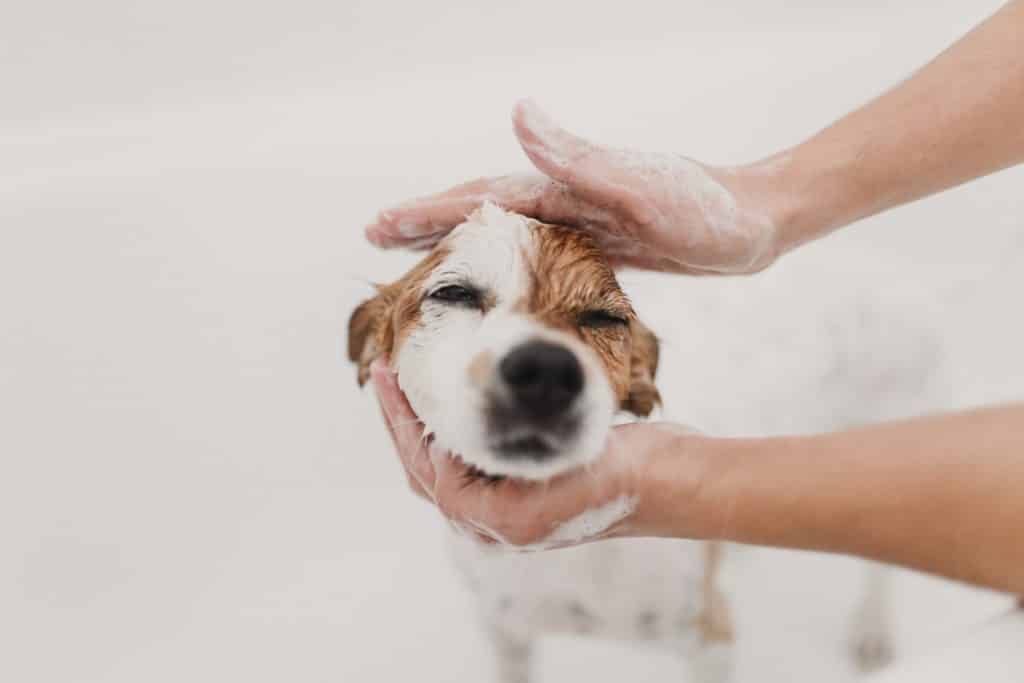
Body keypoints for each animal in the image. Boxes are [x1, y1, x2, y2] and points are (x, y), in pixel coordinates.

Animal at [346, 202, 937, 683]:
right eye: (454, 293)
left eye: (604, 318)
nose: (546, 370)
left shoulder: (709, 639)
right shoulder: (506, 630)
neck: (564, 562)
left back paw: (873, 628)